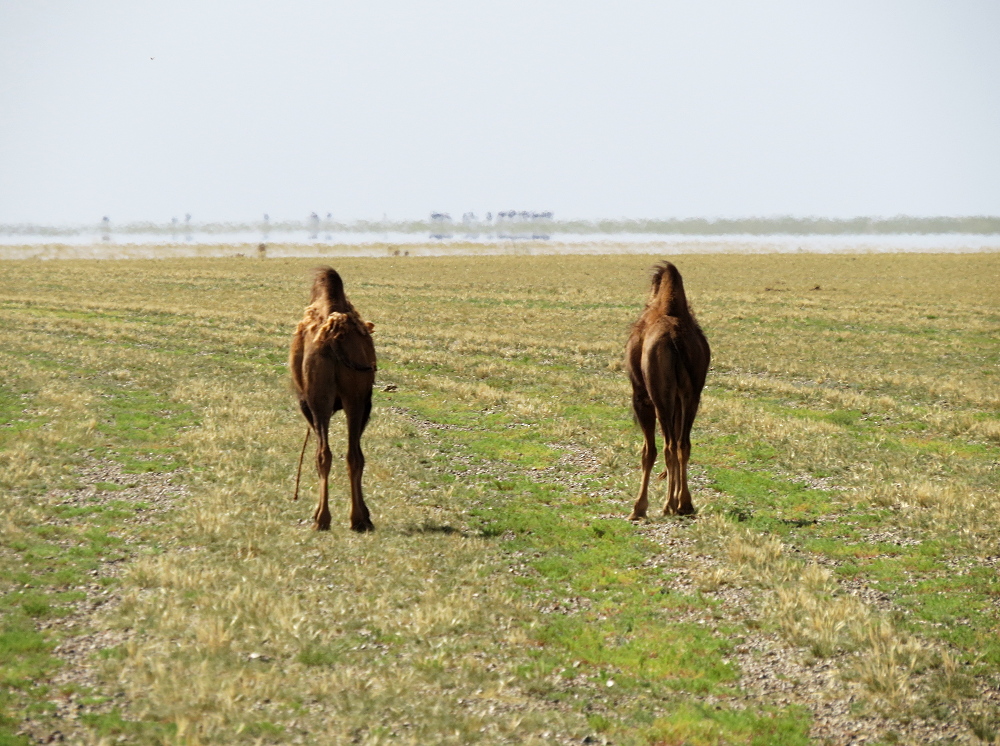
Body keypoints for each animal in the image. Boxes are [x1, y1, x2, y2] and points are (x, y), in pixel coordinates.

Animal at [292, 268, 378, 528]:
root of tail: (333, 338)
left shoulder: (306, 403)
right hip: (357, 398)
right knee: (354, 455)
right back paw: (360, 520)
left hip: (318, 400)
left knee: (323, 454)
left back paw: (322, 519)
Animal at [624, 262, 712, 516]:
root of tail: (676, 341)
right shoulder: (681, 397)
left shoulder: (641, 395)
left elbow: (648, 451)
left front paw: (639, 508)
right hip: (692, 395)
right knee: (683, 444)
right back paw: (683, 503)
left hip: (659, 395)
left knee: (668, 446)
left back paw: (664, 505)